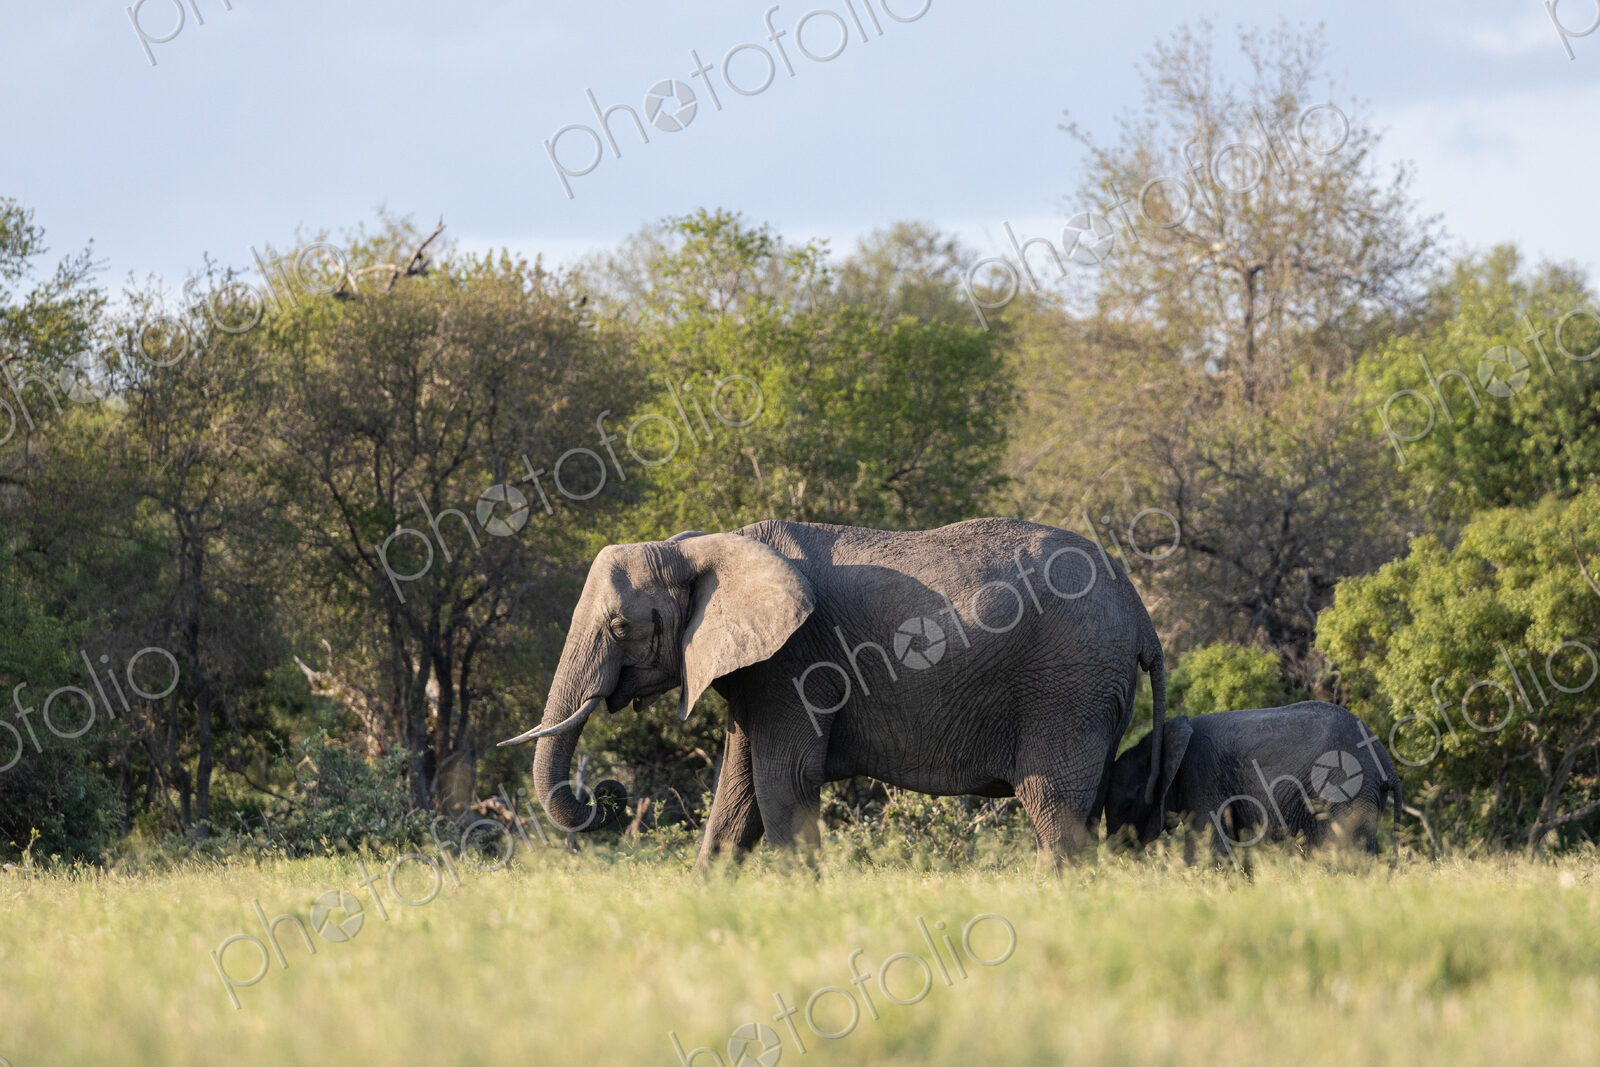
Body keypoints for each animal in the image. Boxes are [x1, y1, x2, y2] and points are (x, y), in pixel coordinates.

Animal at [500, 518, 1167, 867]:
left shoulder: (794, 664)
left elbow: (781, 784)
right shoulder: (758, 673)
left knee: (1055, 813)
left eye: (619, 628)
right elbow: (737, 794)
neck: (701, 546)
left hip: (1069, 688)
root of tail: (1141, 614)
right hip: (1093, 693)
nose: (602, 798)